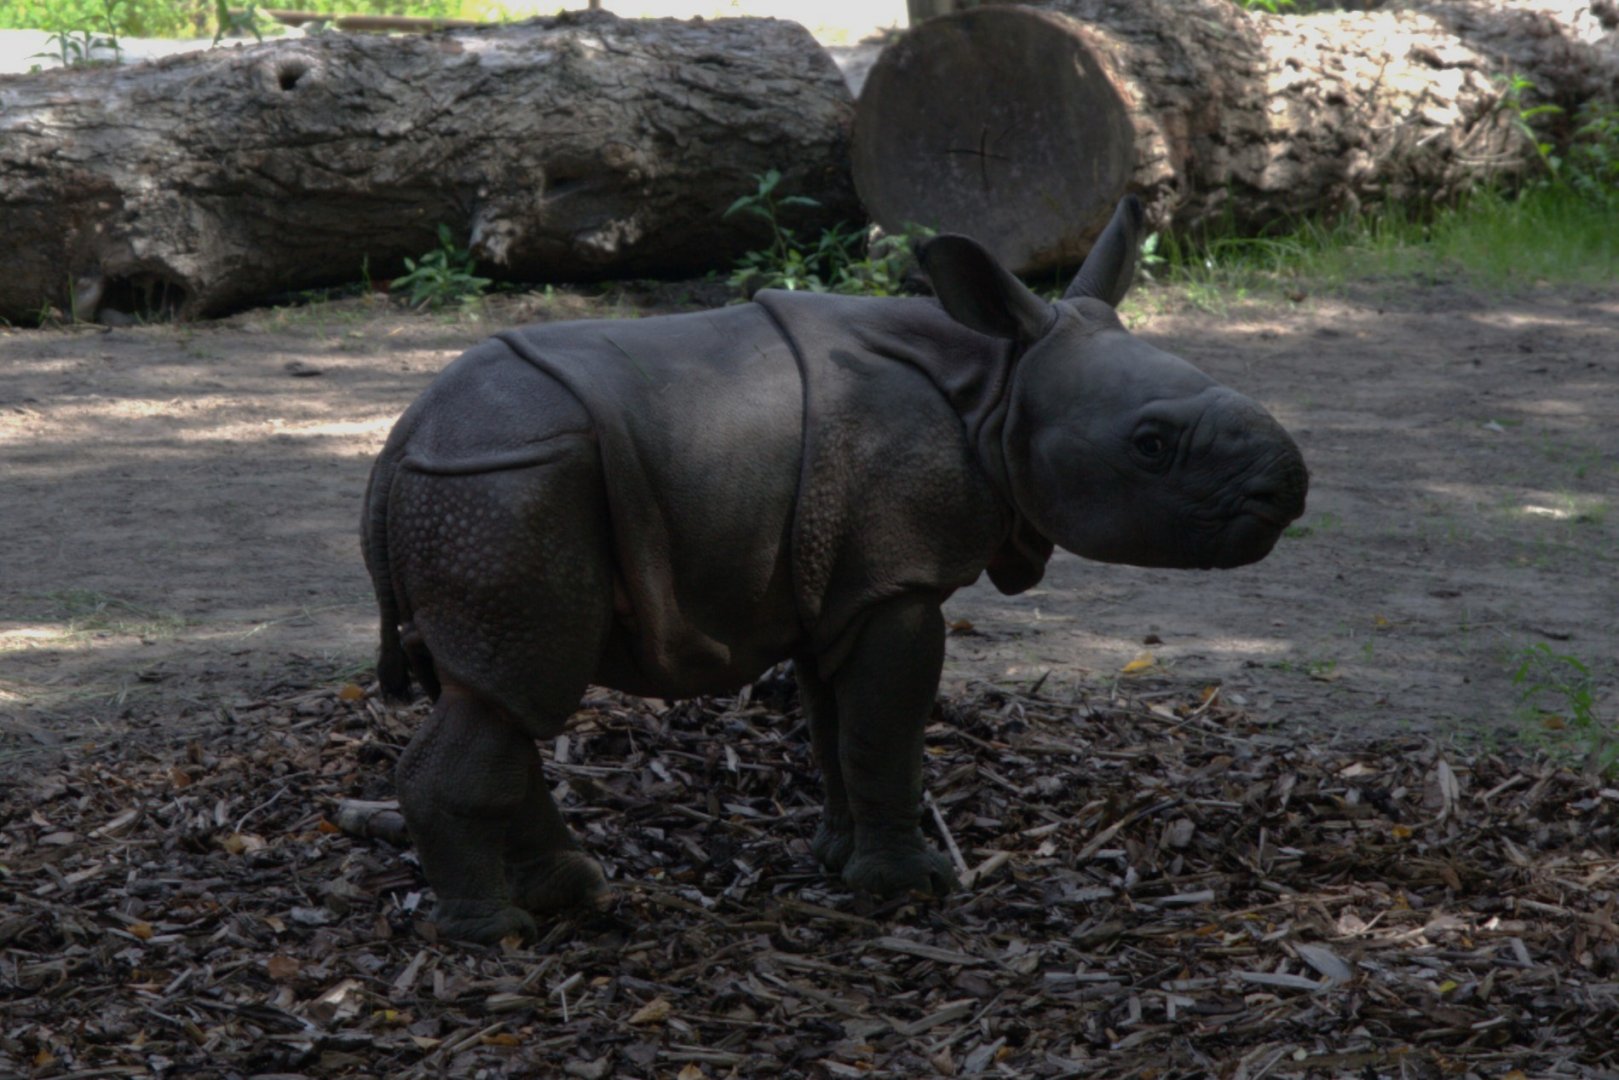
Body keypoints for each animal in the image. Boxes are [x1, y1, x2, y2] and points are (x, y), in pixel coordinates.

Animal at [362, 197, 1308, 944]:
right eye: (1150, 445)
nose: (1287, 485)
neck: (997, 387)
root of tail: (401, 442)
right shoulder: (897, 578)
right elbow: (886, 727)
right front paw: (907, 884)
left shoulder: (837, 581)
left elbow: (836, 728)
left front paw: (838, 858)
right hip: (501, 488)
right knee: (517, 688)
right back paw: (497, 933)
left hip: (487, 492)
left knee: (501, 696)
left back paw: (570, 893)